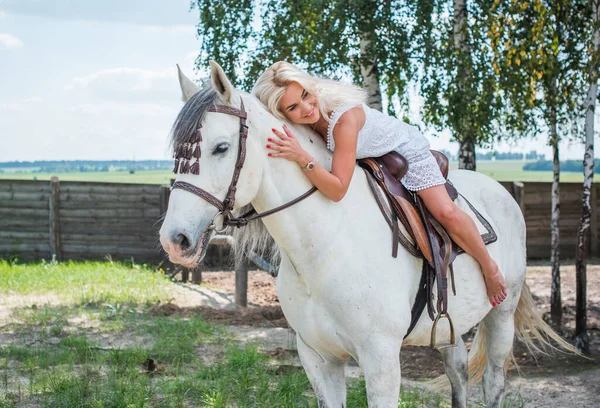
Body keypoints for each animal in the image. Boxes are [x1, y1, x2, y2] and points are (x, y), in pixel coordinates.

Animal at [159, 61, 572, 408]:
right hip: (450, 326)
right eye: (177, 151)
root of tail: (501, 192)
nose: (174, 240)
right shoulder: (318, 359)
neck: (325, 248)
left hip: (501, 317)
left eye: (221, 147)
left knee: (493, 381)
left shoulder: (381, 363)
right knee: (457, 373)